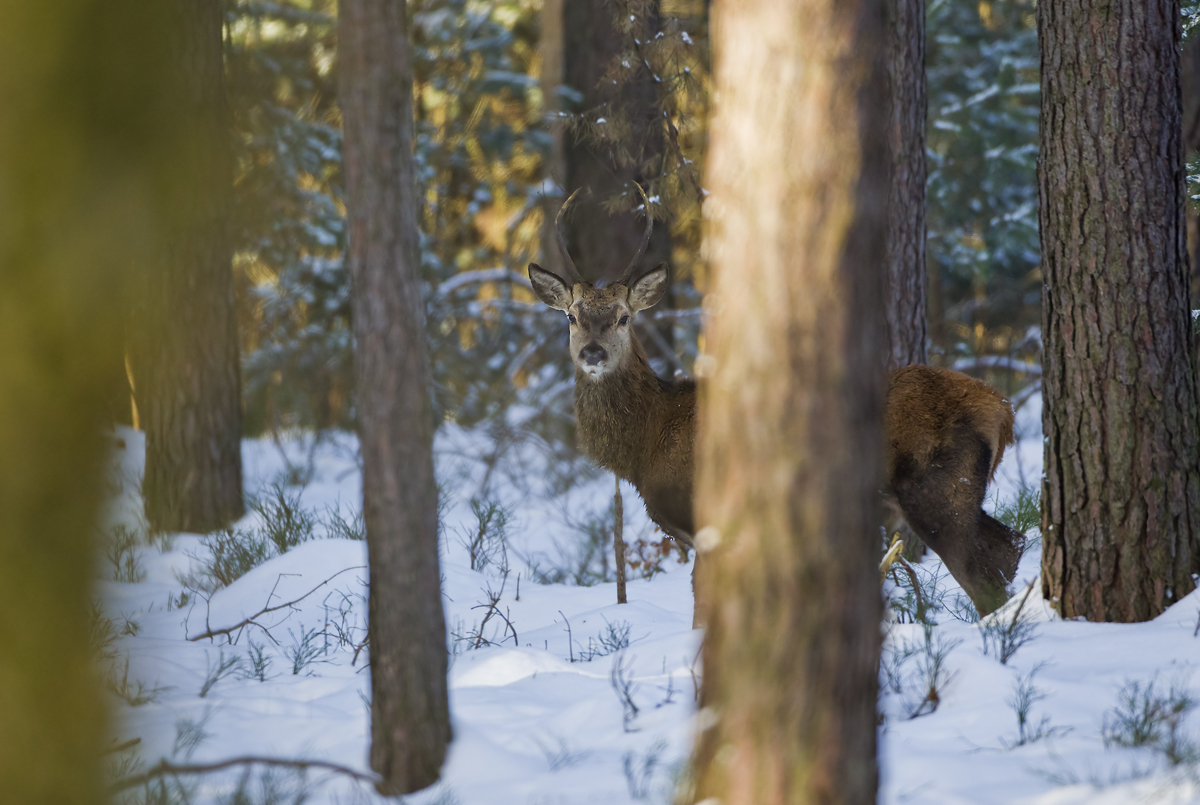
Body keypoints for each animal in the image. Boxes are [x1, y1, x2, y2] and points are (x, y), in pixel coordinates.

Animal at [530, 187, 1027, 619]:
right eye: (572, 316)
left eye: (623, 317)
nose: (592, 353)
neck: (645, 444)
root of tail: (1003, 410)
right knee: (1010, 545)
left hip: (937, 488)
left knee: (985, 576)